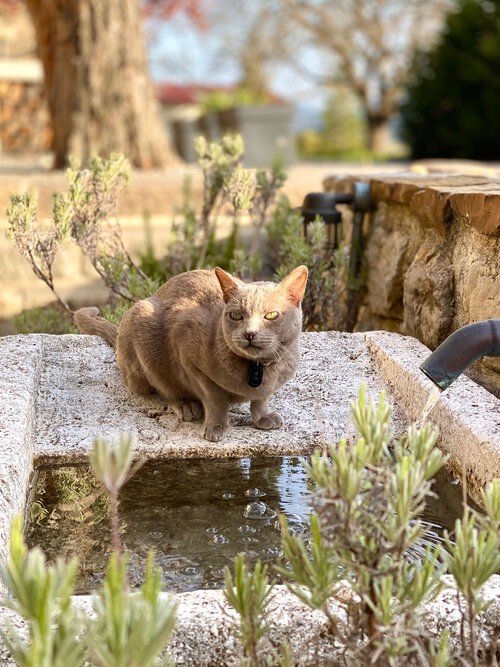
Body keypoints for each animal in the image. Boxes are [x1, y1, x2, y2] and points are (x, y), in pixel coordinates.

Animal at [73, 266, 308, 444]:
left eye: (271, 315)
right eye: (235, 316)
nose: (249, 333)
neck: (256, 369)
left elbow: (260, 400)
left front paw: (263, 417)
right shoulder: (189, 359)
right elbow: (214, 399)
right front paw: (215, 426)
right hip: (142, 328)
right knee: (164, 388)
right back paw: (185, 406)